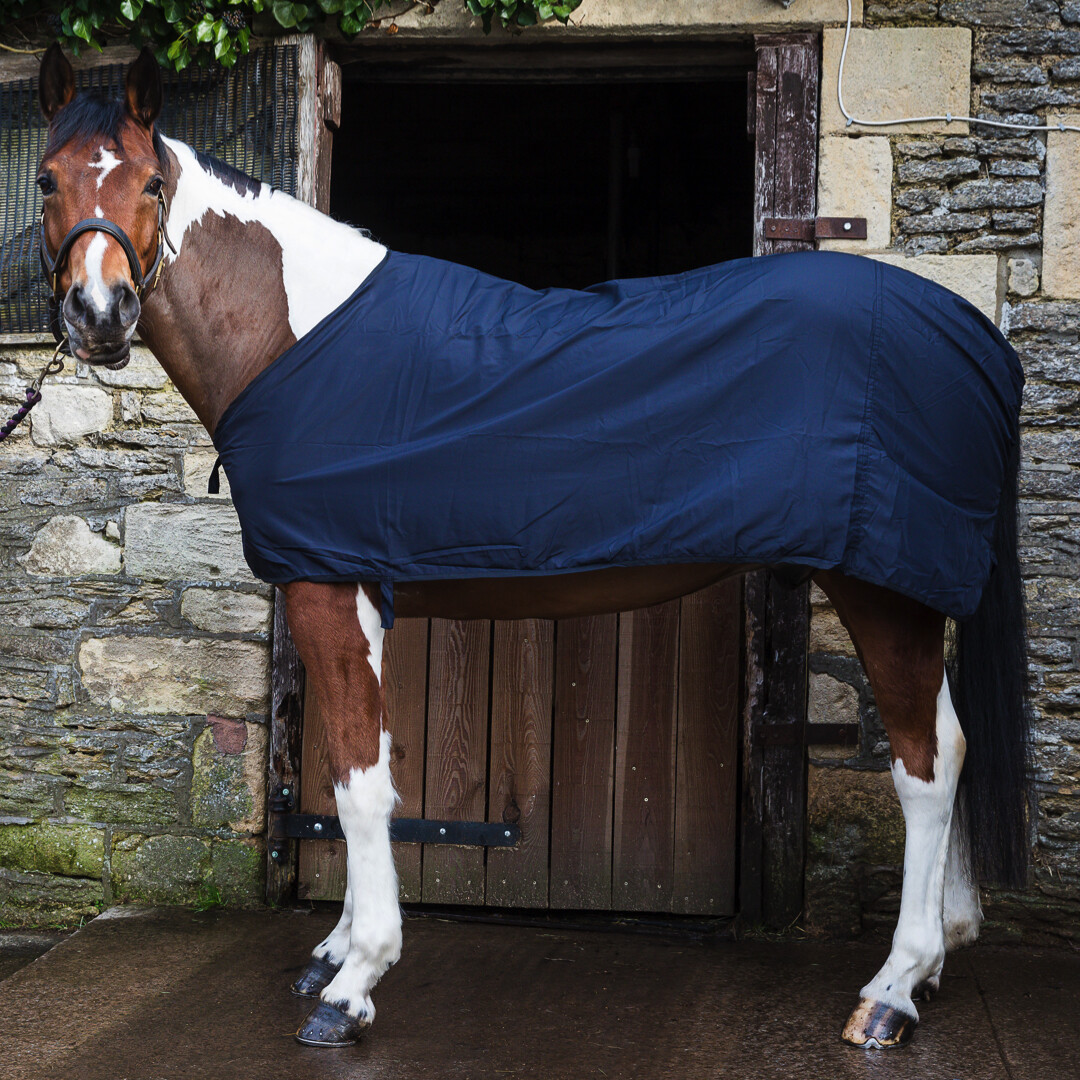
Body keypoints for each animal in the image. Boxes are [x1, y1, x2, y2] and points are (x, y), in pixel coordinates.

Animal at [32, 44, 1030, 1051]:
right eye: (45, 179)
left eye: (151, 183)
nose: (99, 314)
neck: (291, 333)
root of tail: (975, 334)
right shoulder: (351, 598)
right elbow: (357, 767)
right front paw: (336, 950)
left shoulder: (331, 592)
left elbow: (357, 785)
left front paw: (354, 983)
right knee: (950, 744)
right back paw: (934, 960)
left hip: (884, 588)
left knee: (927, 764)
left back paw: (892, 990)